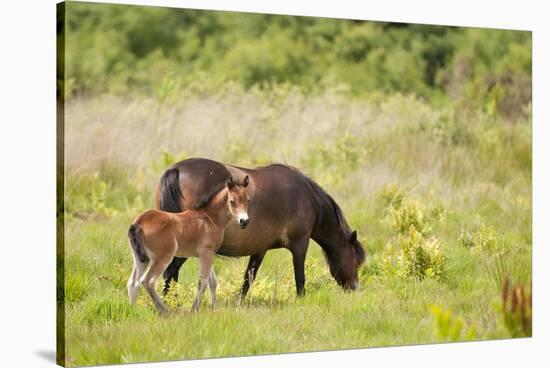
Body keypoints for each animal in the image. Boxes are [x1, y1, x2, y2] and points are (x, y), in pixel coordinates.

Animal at [127, 175, 250, 314]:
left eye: (247, 200)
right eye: (232, 201)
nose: (244, 221)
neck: (210, 218)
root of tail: (139, 222)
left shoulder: (208, 253)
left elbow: (213, 282)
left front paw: (214, 308)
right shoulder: (206, 253)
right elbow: (203, 282)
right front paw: (194, 309)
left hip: (141, 258)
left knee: (133, 282)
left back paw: (133, 310)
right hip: (163, 258)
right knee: (147, 281)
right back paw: (166, 311)